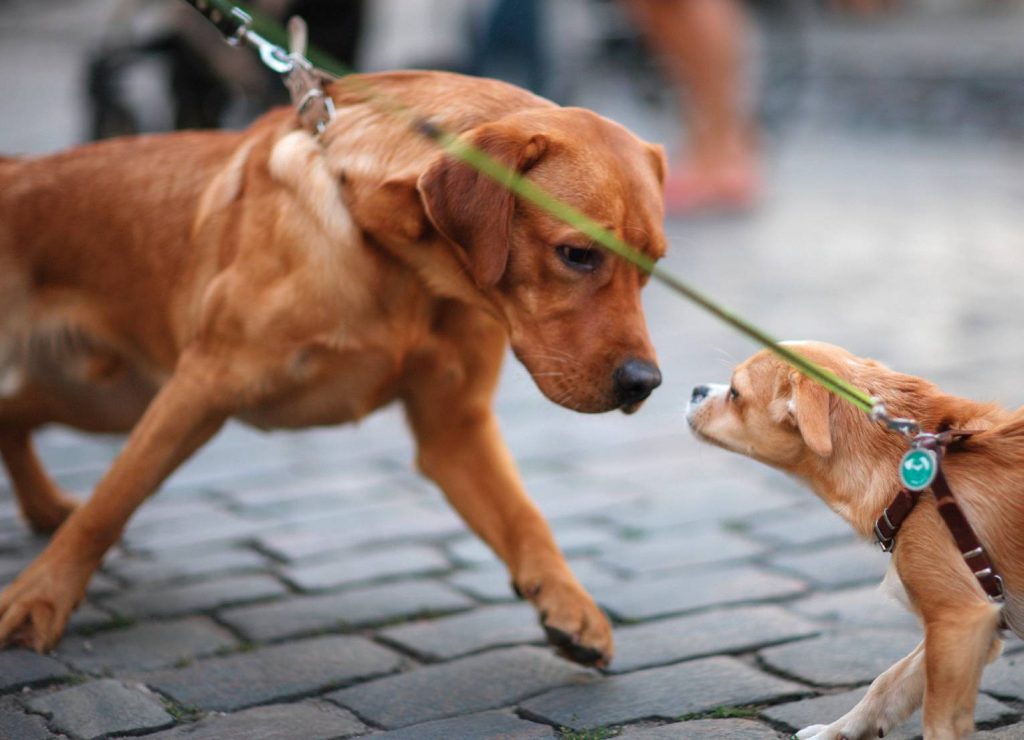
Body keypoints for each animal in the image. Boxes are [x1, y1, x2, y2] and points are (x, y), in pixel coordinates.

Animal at [0, 69, 663, 663]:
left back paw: (42, 506)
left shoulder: (454, 428)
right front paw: (38, 600)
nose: (647, 384)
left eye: (651, 266)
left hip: (108, 397)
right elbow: (111, 502)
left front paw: (569, 603)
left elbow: (527, 517)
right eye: (577, 254)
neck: (406, 269)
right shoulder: (201, 386)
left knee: (14, 414)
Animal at [688, 343, 1024, 740]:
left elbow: (938, 721)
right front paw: (836, 731)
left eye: (735, 393)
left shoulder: (959, 618)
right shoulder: (973, 627)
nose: (695, 389)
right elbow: (888, 684)